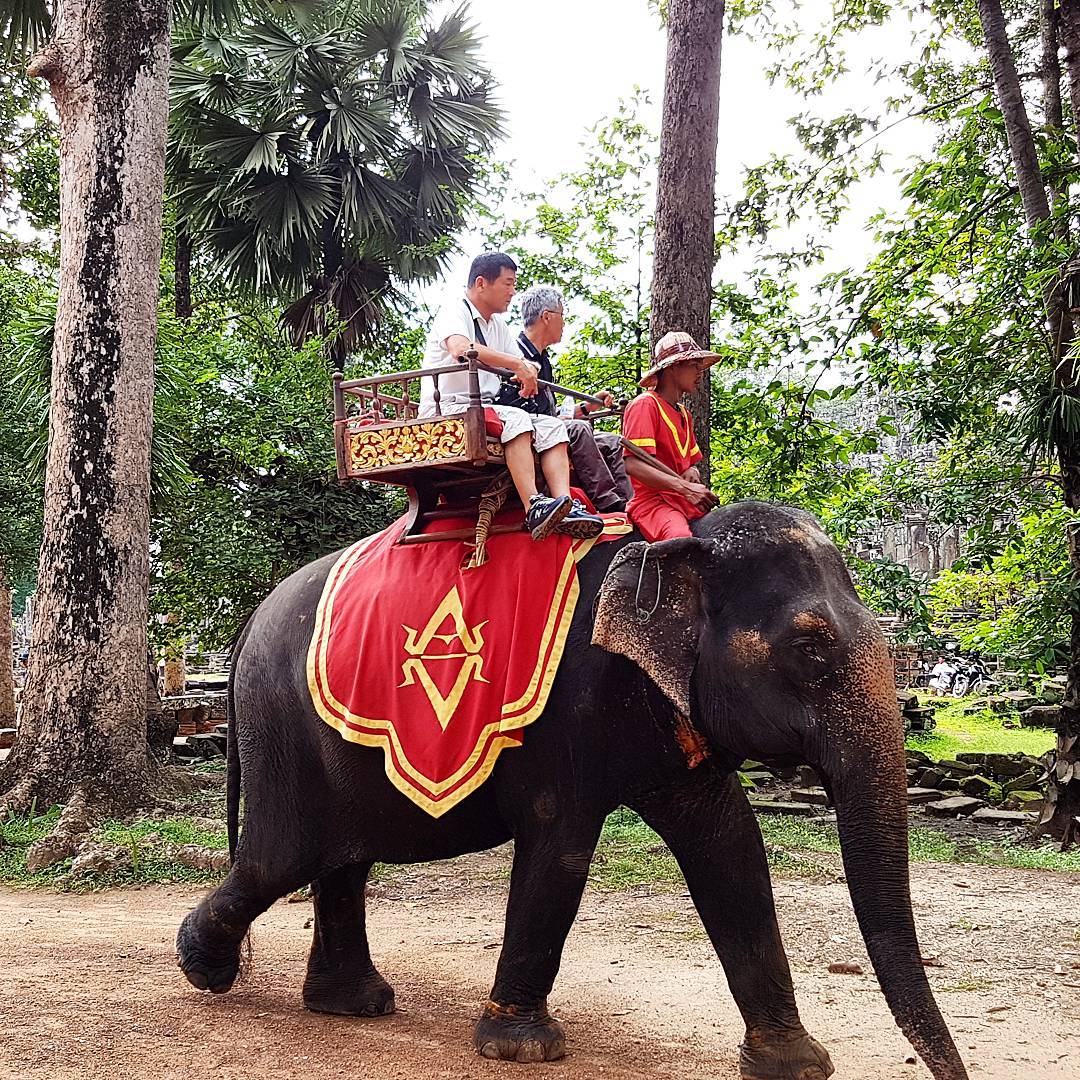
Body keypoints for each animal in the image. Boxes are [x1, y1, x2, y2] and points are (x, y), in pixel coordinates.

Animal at [176, 501, 968, 1080]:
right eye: (810, 649)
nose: (951, 1076)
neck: (675, 543)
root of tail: (244, 627)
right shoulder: (567, 711)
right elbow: (559, 845)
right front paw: (522, 1048)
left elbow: (733, 848)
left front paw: (796, 1066)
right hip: (284, 727)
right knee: (281, 858)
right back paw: (205, 969)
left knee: (341, 859)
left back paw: (352, 1005)